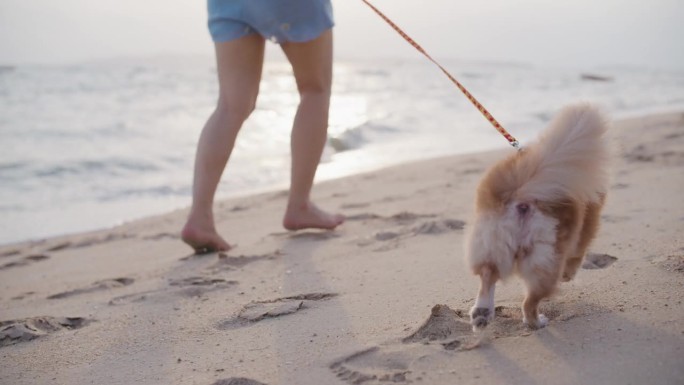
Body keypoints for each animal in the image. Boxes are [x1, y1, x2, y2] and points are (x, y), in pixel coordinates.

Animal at [464, 103, 608, 328]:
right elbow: (577, 256)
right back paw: (537, 322)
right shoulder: (584, 233)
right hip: (546, 260)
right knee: (530, 302)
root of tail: (520, 200)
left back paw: (482, 314)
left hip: (490, 244)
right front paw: (569, 275)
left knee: (487, 277)